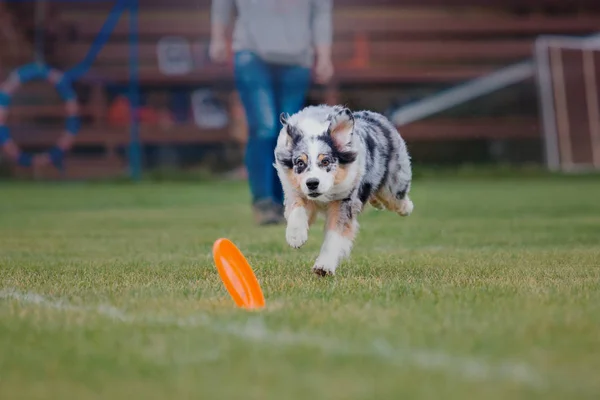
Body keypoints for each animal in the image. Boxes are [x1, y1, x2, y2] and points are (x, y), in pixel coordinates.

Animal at [272, 104, 412, 276]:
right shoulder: (296, 190)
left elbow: (335, 235)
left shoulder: (344, 200)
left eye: (325, 161)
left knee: (396, 198)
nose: (312, 183)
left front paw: (323, 266)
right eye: (300, 162)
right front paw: (295, 236)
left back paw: (406, 207)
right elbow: (297, 208)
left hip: (393, 184)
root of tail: (374, 115)